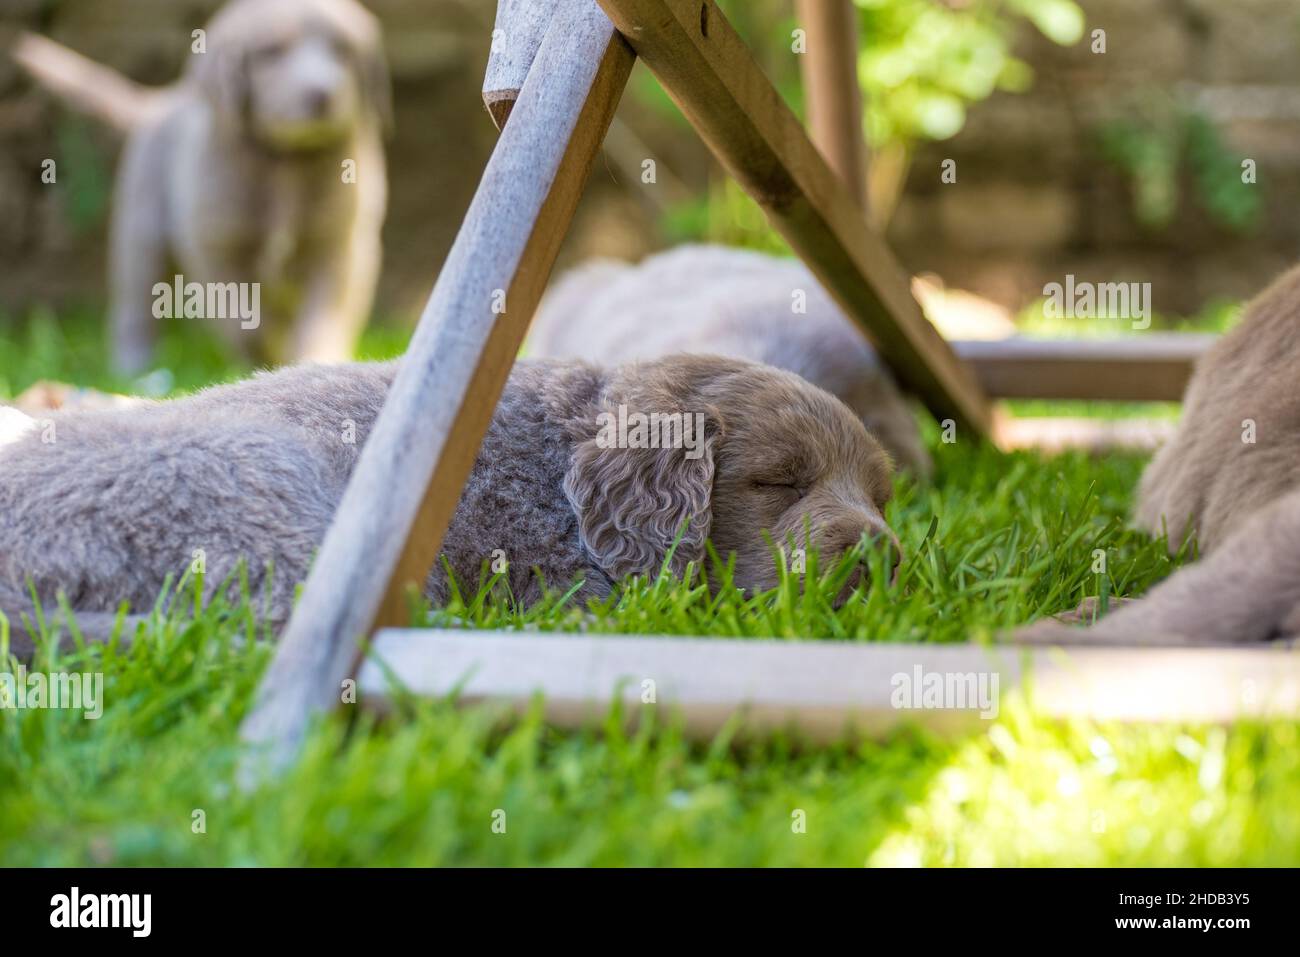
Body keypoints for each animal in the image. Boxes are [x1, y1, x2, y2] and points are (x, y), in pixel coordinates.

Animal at [12, 0, 387, 371]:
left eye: (342, 50)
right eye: (271, 53)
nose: (324, 94)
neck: (285, 161)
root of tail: (164, 98)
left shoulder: (341, 249)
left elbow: (322, 318)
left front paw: (313, 360)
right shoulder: (216, 248)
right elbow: (246, 322)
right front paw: (265, 356)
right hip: (141, 232)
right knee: (135, 301)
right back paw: (134, 367)